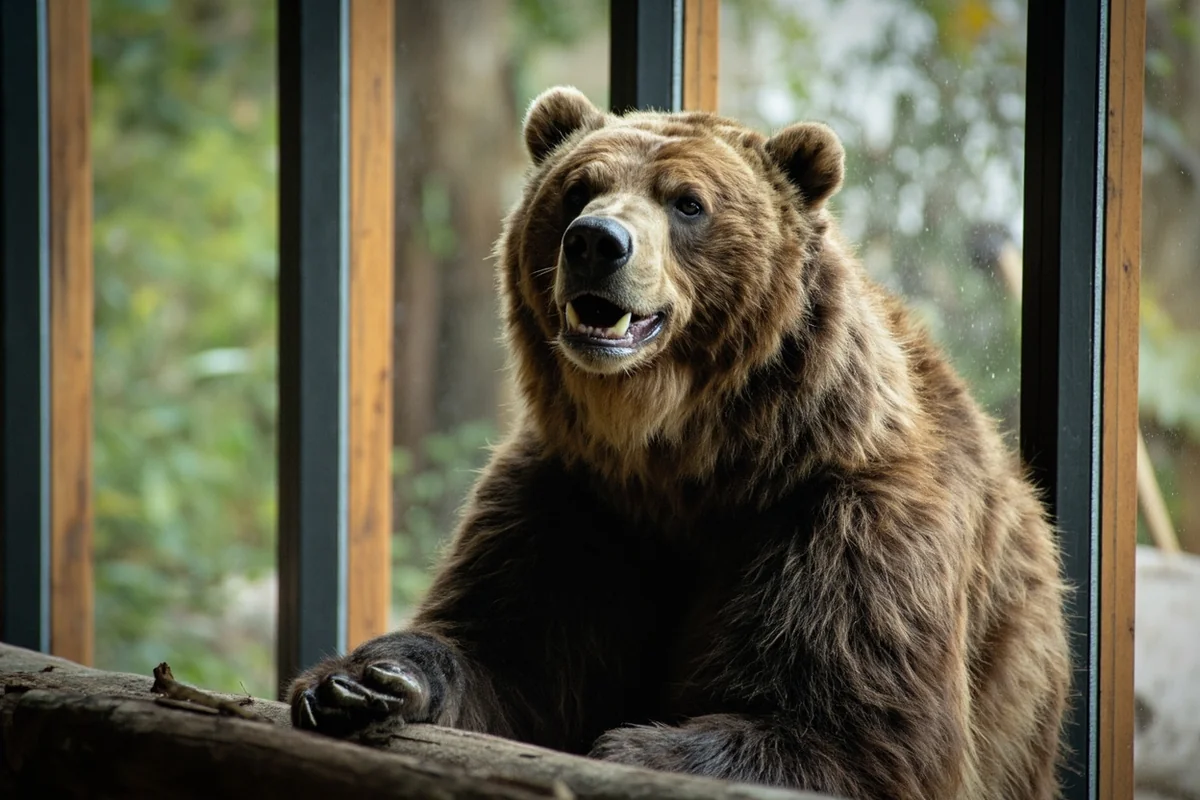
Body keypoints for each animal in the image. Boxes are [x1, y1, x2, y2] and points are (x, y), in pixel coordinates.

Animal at [288, 86, 1071, 800]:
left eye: (689, 203)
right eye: (579, 188)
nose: (596, 241)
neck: (684, 458)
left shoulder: (844, 516)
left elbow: (857, 735)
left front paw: (634, 747)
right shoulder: (572, 500)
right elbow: (505, 655)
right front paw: (360, 683)